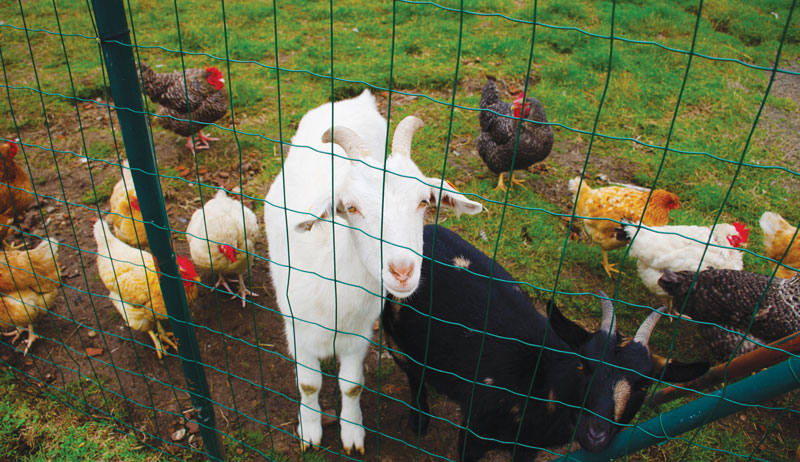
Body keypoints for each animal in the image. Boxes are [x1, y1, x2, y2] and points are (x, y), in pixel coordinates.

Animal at [264, 90, 483, 454]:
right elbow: (308, 385)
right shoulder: (297, 330)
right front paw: (310, 432)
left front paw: (352, 434)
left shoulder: (359, 335)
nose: (403, 271)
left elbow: (352, 386)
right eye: (351, 207)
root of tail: (355, 98)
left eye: (424, 201)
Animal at [382, 225, 709, 461]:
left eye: (644, 384)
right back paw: (419, 420)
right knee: (413, 372)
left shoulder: (528, 447)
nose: (596, 434)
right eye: (584, 365)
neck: (540, 384)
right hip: (395, 335)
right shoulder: (476, 430)